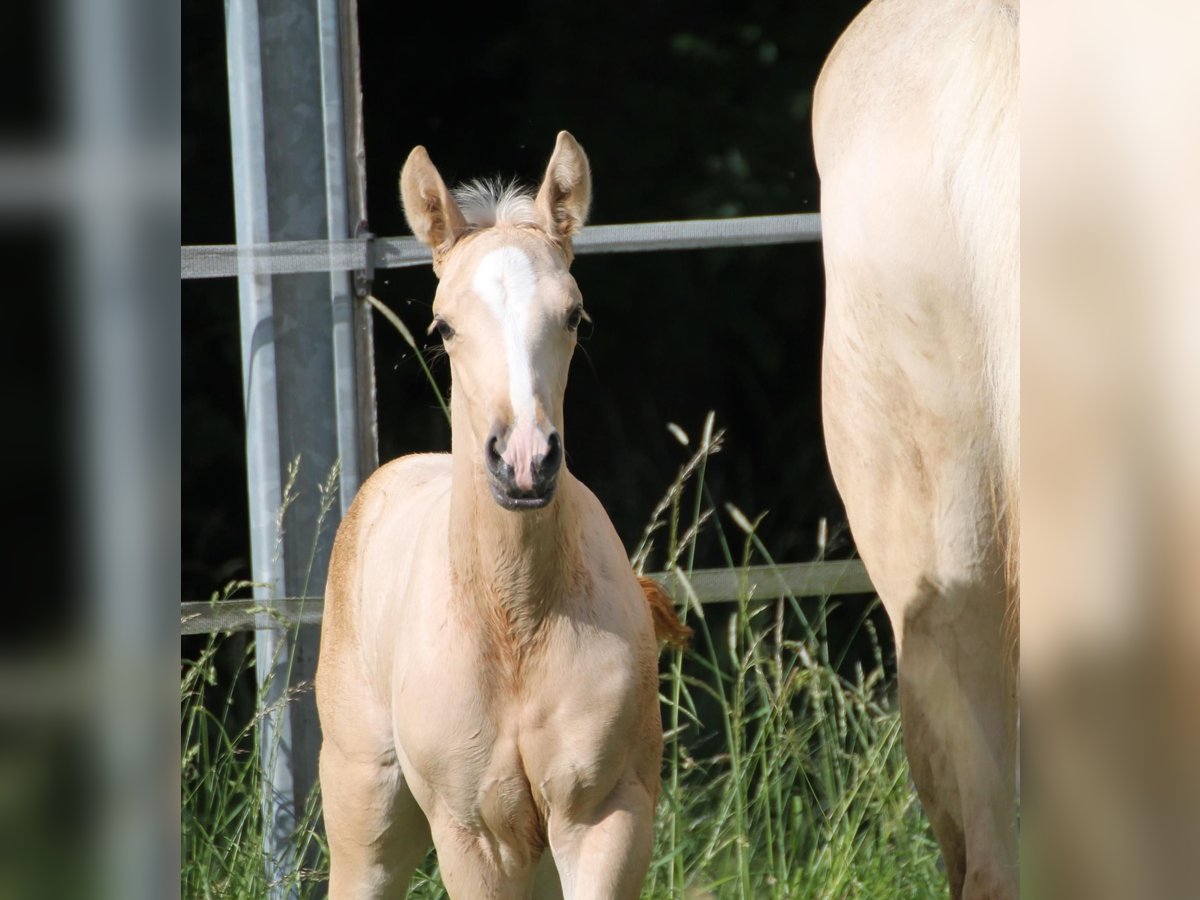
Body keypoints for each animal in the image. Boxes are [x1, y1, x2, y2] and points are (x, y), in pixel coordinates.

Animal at [314, 130, 686, 897]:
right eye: (443, 326)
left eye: (576, 317)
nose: (523, 461)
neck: (513, 620)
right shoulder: (474, 833)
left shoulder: (606, 818)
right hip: (367, 814)